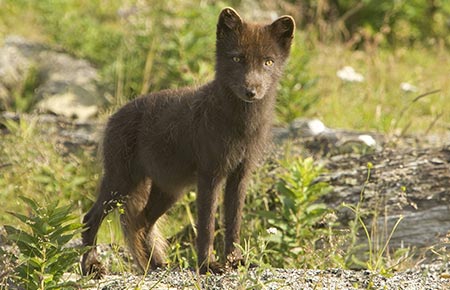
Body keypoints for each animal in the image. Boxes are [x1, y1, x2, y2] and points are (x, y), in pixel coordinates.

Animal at [81, 6, 296, 276]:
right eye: (237, 59)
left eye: (268, 62)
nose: (251, 91)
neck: (241, 126)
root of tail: (114, 115)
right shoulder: (210, 175)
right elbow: (206, 226)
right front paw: (207, 265)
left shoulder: (240, 174)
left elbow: (233, 223)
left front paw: (236, 261)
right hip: (121, 183)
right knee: (91, 218)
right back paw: (91, 267)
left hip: (168, 191)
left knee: (141, 222)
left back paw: (156, 266)